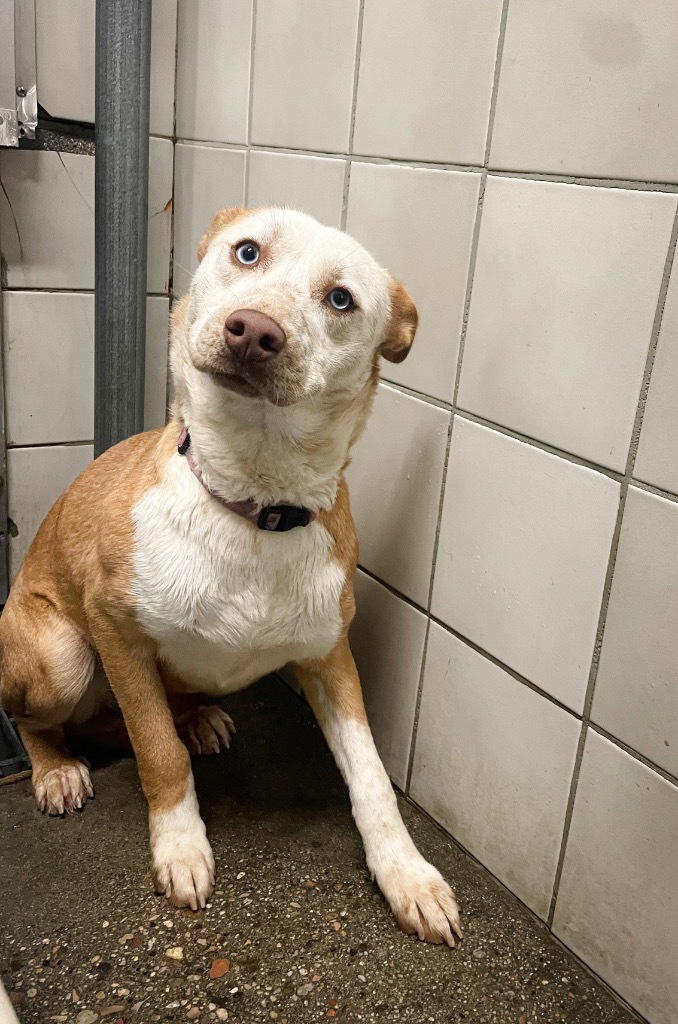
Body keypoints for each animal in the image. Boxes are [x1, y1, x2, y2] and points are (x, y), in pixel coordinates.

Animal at [0, 205, 462, 942]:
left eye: (341, 299)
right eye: (247, 252)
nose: (255, 330)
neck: (252, 505)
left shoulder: (332, 659)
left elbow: (371, 776)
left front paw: (408, 875)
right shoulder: (113, 628)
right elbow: (157, 752)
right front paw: (181, 846)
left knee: (133, 720)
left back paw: (198, 719)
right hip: (62, 656)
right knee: (42, 721)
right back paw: (57, 771)